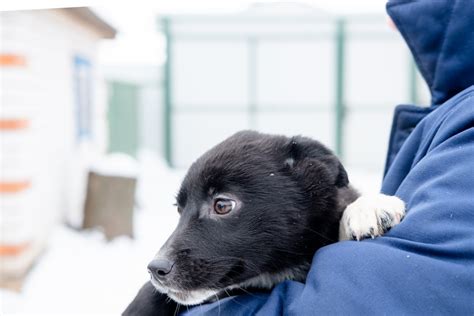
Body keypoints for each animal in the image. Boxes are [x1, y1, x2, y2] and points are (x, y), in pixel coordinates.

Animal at [123, 130, 404, 314]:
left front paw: (370, 206)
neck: (274, 274)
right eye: (179, 209)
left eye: (222, 205)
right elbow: (147, 296)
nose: (156, 269)